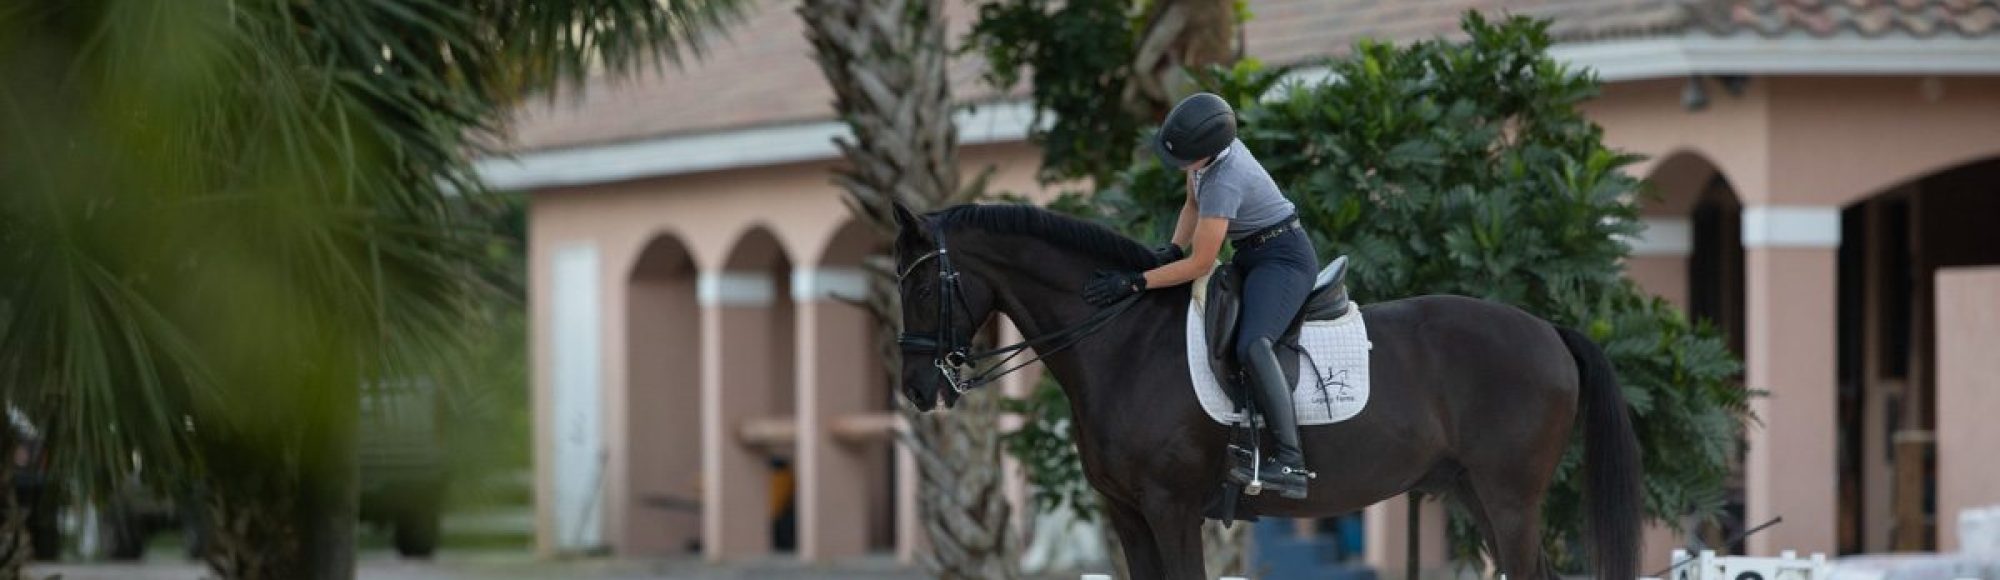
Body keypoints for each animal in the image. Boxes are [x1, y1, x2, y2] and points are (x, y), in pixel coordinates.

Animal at [892, 202, 1640, 576]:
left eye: (923, 283)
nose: (917, 387)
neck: (1124, 342)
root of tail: (1547, 329)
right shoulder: (1126, 514)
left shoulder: (1171, 508)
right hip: (1476, 492)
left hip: (1509, 497)